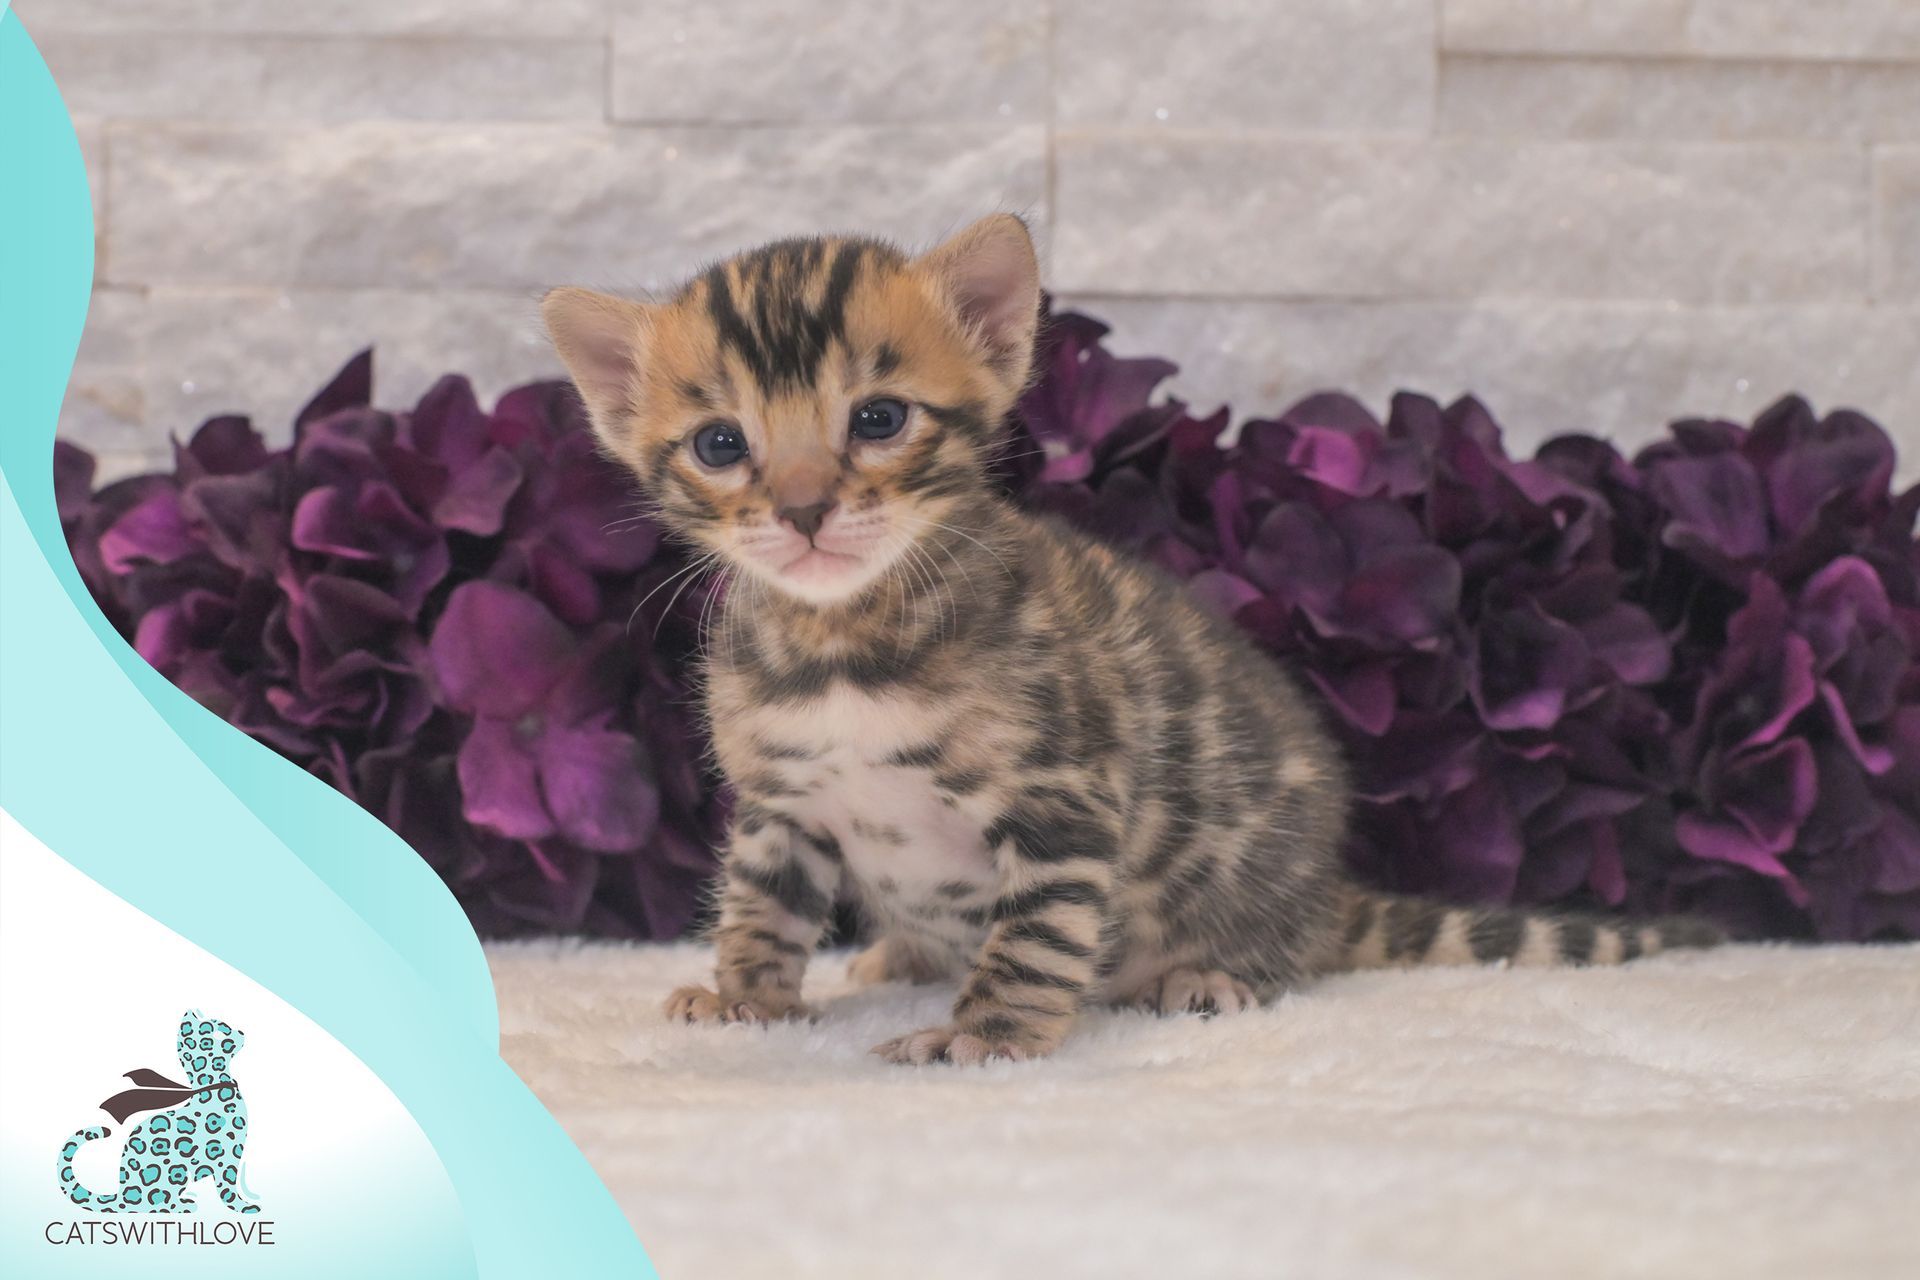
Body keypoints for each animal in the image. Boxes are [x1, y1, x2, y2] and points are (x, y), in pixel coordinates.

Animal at [545, 214, 1728, 1066]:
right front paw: (746, 996)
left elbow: (1032, 939)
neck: (847, 641)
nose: (800, 510)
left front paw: (983, 1036)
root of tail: (1324, 894)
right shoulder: (781, 802)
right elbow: (761, 904)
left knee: (1276, 959)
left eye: (878, 419)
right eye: (720, 444)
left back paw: (1213, 975)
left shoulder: (1064, 796)